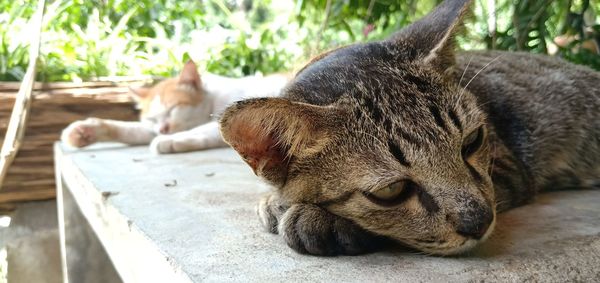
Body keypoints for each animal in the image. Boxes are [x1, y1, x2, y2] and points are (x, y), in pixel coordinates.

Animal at [59, 59, 290, 153]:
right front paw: (84, 131)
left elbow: (202, 130)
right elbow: (130, 130)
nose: (163, 129)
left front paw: (170, 140)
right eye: (152, 119)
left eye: (173, 109)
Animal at [219, 0, 600, 258]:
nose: (478, 221)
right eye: (392, 190)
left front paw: (316, 219)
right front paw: (274, 201)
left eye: (472, 141)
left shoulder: (509, 170)